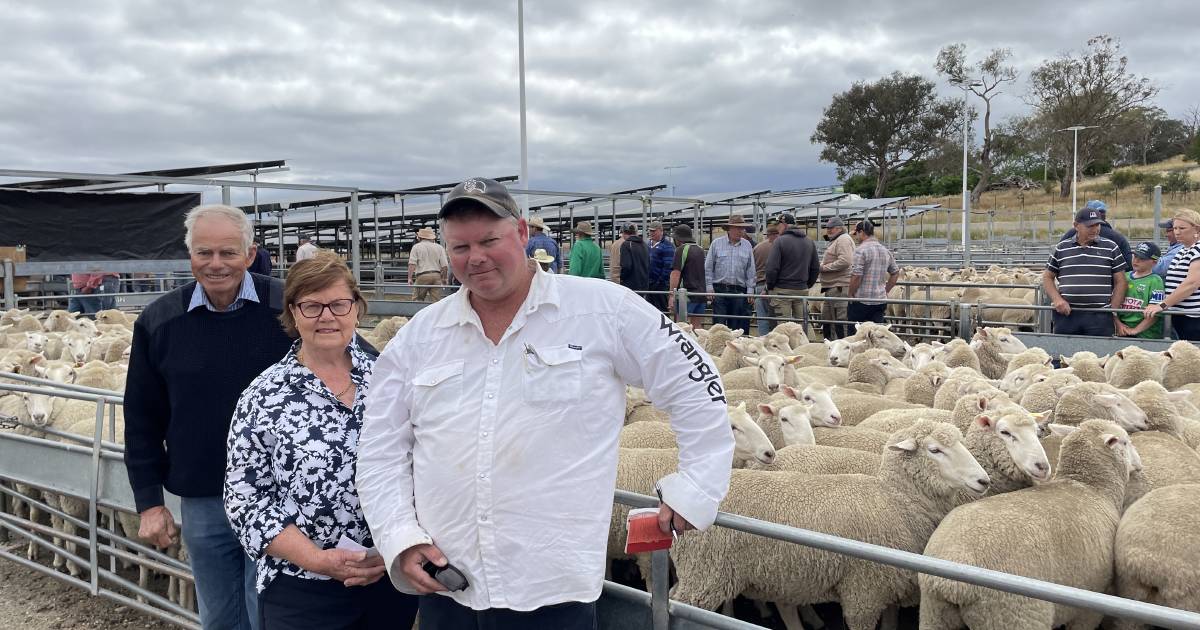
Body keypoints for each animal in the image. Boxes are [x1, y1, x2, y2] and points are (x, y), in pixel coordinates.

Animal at [672, 420, 988, 630]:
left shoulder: (890, 584)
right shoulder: (864, 591)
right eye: (935, 450)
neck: (894, 499)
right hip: (706, 573)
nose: (983, 480)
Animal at [916, 417, 1142, 628]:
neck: (1090, 486)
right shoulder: (1089, 608)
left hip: (934, 613)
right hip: (1012, 613)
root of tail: (950, 584)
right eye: (1126, 442)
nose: (1140, 464)